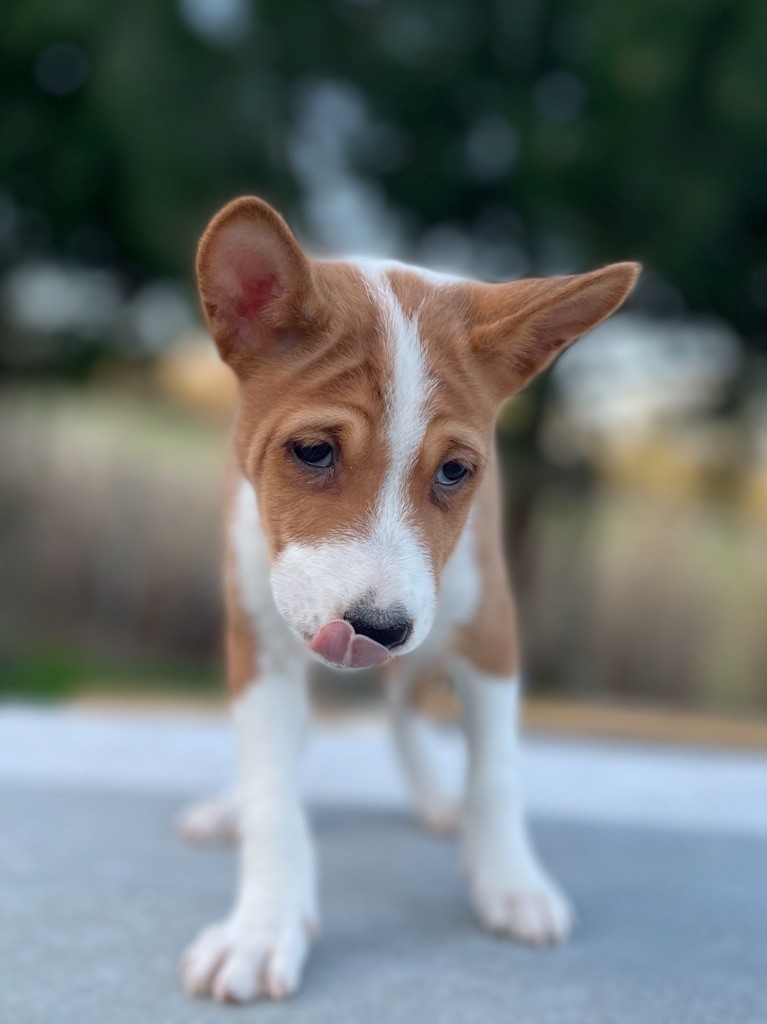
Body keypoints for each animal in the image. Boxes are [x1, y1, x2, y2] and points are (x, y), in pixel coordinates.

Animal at [178, 196, 640, 1003]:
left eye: (455, 471)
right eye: (312, 451)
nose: (377, 629)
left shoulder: (489, 630)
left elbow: (497, 771)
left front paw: (510, 881)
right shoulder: (261, 641)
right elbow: (273, 792)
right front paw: (263, 926)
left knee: (403, 705)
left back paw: (435, 799)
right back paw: (227, 809)